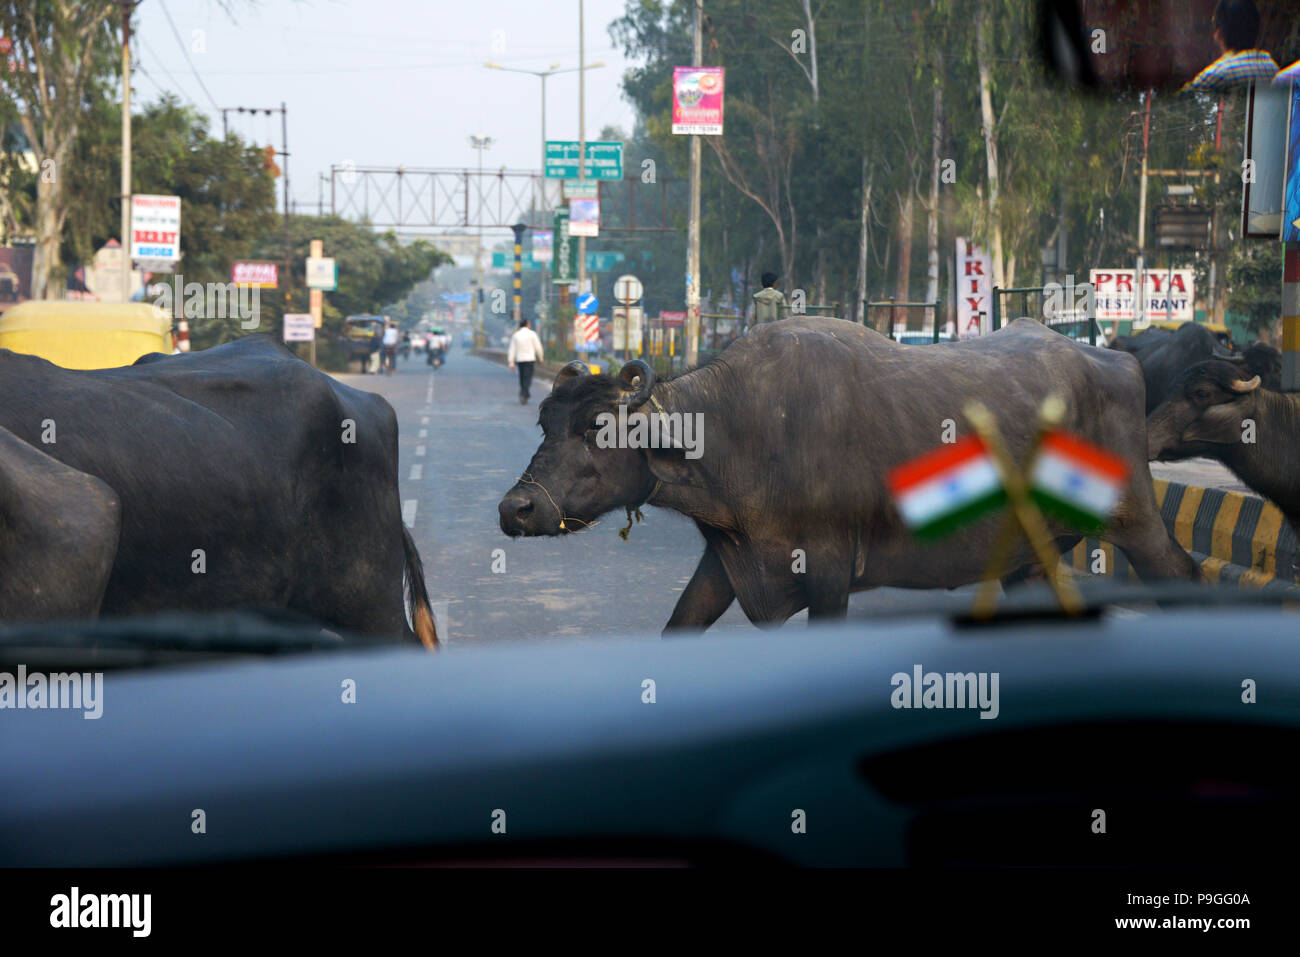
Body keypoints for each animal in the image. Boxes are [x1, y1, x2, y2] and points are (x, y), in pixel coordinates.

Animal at [499, 317, 1196, 631]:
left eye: (598, 426)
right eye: (545, 422)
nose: (516, 509)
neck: (739, 430)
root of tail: (1118, 361)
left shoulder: (829, 573)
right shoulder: (730, 561)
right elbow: (680, 624)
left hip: (1137, 523)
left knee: (1182, 574)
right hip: (1030, 552)